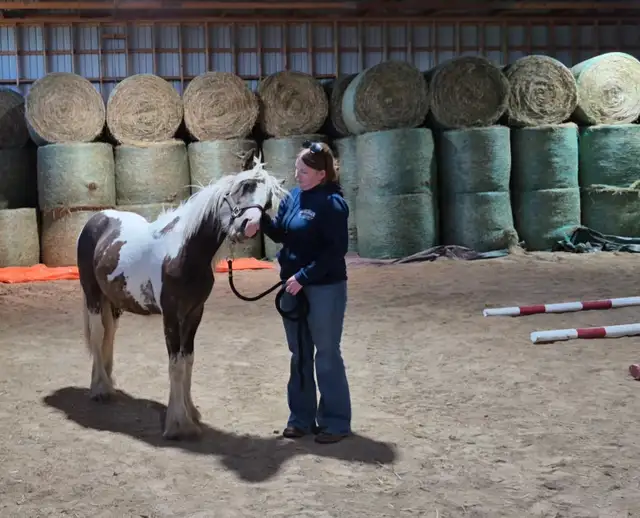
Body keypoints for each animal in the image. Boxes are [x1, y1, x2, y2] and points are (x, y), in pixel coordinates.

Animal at [75, 157, 289, 440]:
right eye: (245, 186)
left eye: (268, 202)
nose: (250, 226)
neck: (184, 252)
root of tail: (97, 218)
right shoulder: (171, 315)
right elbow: (175, 364)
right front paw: (178, 424)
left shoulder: (194, 313)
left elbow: (188, 361)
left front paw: (191, 412)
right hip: (93, 295)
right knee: (99, 335)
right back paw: (100, 390)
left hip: (114, 302)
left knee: (109, 336)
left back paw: (106, 383)